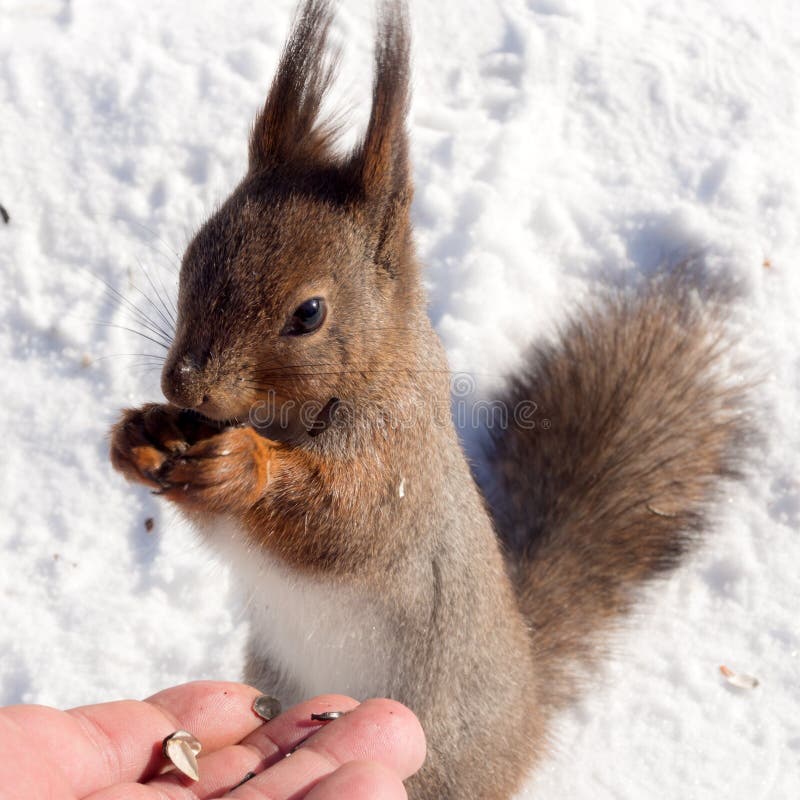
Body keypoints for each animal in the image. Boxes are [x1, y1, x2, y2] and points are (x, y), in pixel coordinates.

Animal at [109, 1, 748, 797]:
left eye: (309, 314)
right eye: (193, 255)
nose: (183, 384)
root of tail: (527, 709)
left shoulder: (398, 461)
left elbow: (341, 521)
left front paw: (242, 467)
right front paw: (139, 435)